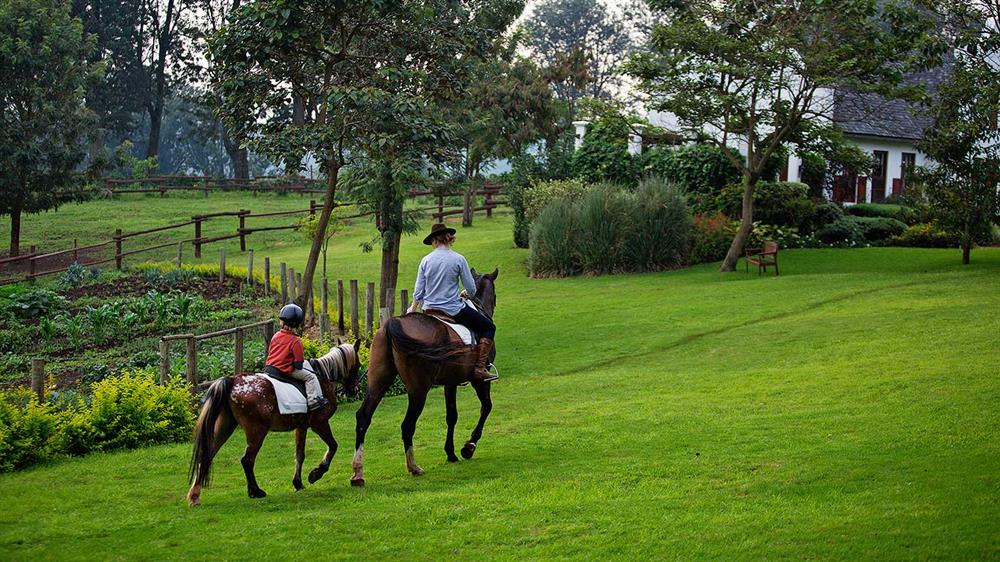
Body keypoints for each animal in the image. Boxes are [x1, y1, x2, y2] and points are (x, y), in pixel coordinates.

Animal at [186, 340, 362, 506]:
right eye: (358, 365)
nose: (353, 390)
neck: (321, 377)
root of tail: (232, 380)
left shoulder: (301, 427)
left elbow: (300, 454)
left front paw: (298, 483)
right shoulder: (320, 423)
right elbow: (333, 446)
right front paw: (316, 473)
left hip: (225, 427)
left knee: (207, 456)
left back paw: (194, 496)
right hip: (257, 431)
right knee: (247, 460)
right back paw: (255, 491)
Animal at [352, 270, 500, 484]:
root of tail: (392, 323)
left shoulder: (450, 382)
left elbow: (451, 415)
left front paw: (451, 453)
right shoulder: (479, 379)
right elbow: (486, 407)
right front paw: (468, 447)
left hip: (377, 383)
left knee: (363, 418)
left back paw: (358, 473)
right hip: (418, 390)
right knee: (407, 425)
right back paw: (413, 467)